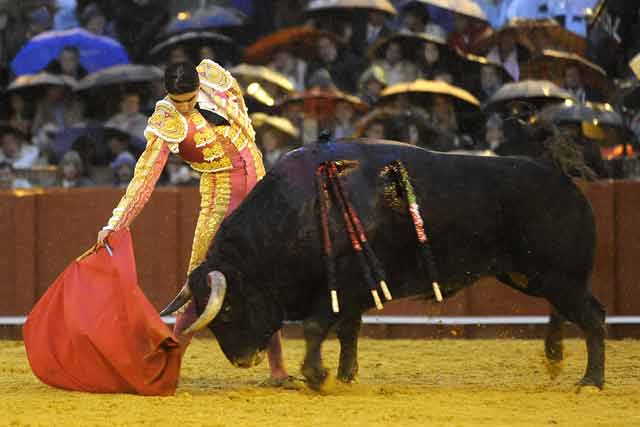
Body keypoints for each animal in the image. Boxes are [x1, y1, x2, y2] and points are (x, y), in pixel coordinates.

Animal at [176, 140, 604, 392]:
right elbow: (348, 330)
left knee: (592, 315)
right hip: (529, 275)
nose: (242, 360)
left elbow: (317, 326)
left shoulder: (343, 286)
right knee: (565, 310)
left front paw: (318, 377)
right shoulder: (354, 293)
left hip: (556, 274)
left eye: (227, 311)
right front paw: (345, 376)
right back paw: (554, 358)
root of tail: (565, 179)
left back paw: (590, 381)